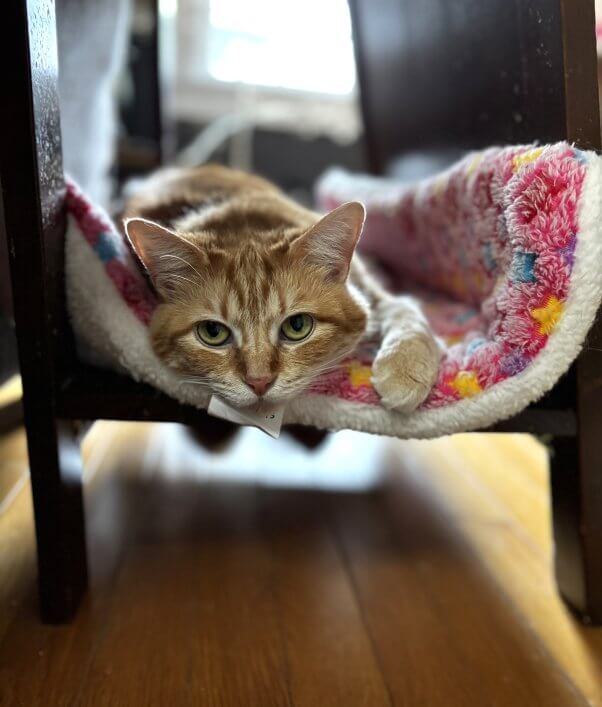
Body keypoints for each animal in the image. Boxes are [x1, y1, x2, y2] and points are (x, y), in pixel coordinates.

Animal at [123, 165, 440, 412]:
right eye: (213, 333)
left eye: (297, 326)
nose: (259, 382)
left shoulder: (374, 292)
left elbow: (406, 312)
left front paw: (404, 370)